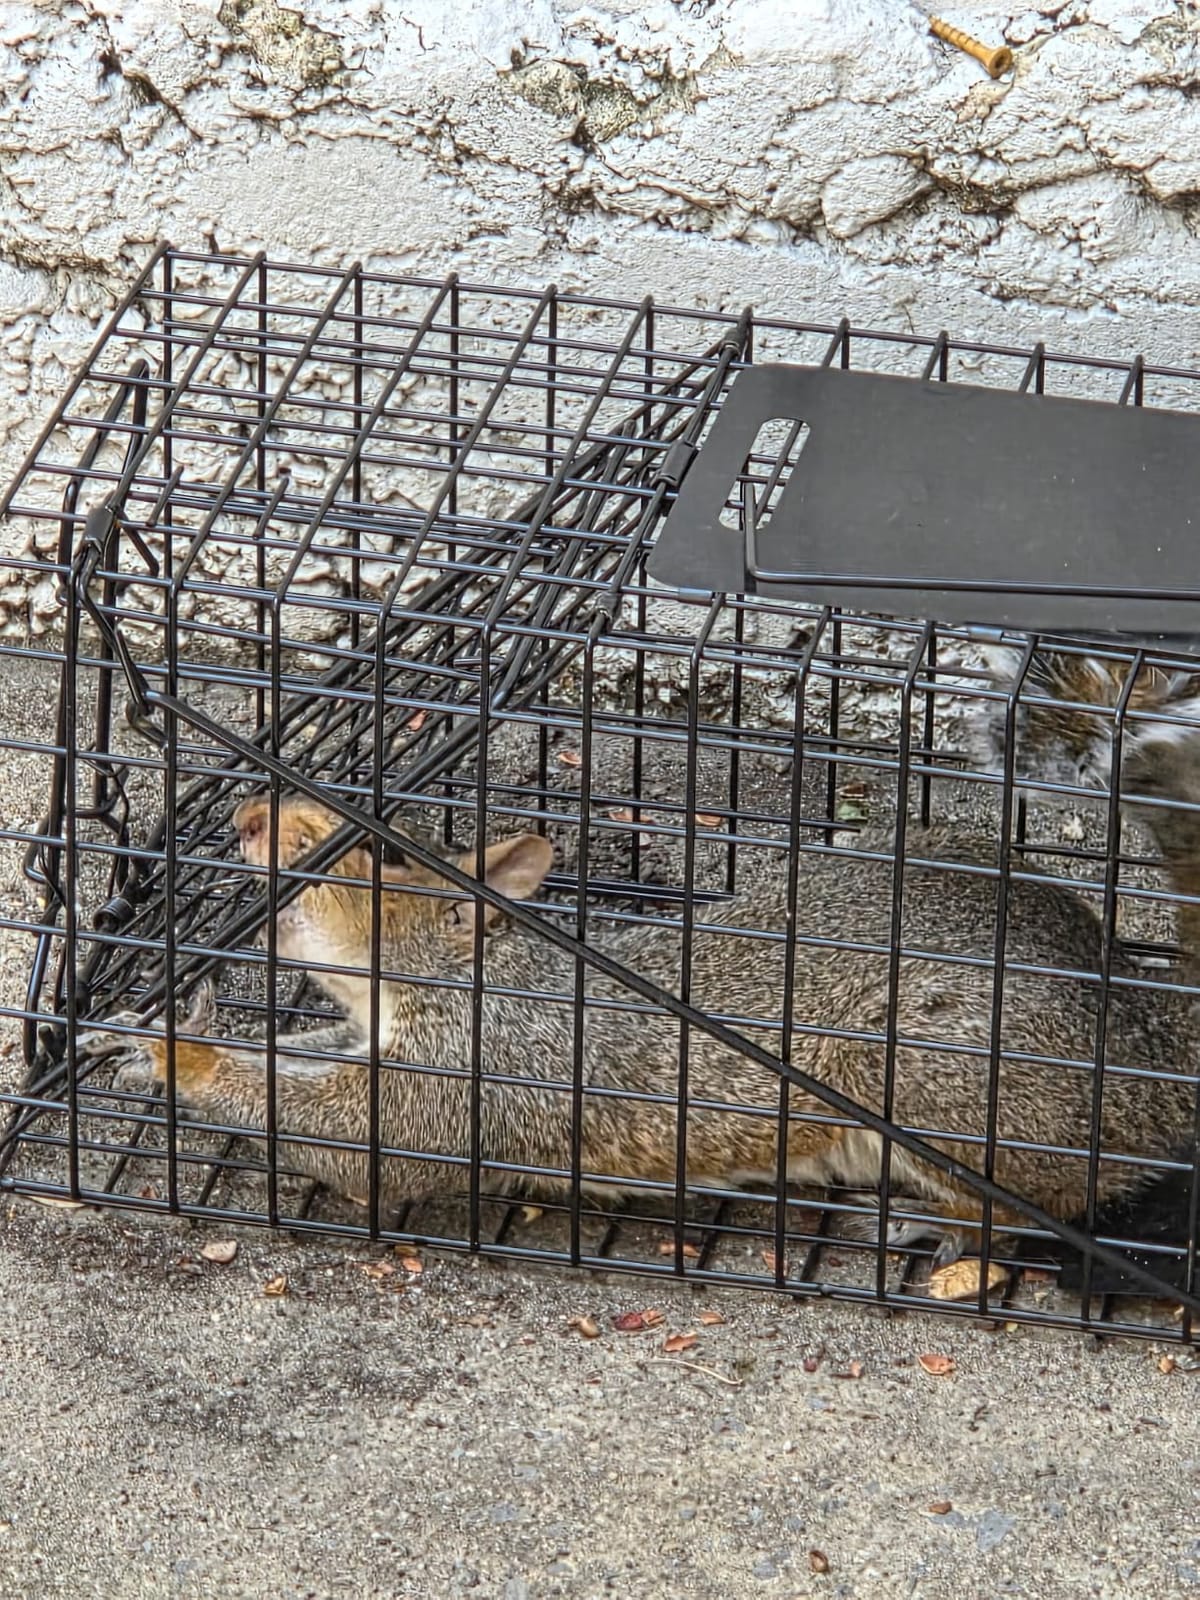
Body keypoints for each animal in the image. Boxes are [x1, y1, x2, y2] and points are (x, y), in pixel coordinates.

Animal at [83, 767, 1200, 1271]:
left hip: (929, 1077)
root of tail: (1143, 1049)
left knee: (1047, 1203)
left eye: (381, 854)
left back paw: (927, 1224)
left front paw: (182, 1054)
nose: (245, 818)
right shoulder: (372, 1039)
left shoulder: (480, 1073)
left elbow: (369, 1144)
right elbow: (296, 1058)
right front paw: (154, 1034)